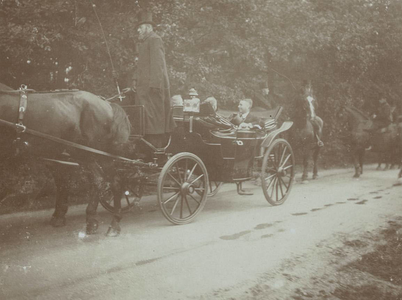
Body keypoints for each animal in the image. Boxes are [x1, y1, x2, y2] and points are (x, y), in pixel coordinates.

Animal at [0, 84, 130, 237]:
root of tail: (106, 103)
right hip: (83, 153)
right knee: (102, 180)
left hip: (93, 153)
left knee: (107, 181)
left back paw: (108, 223)